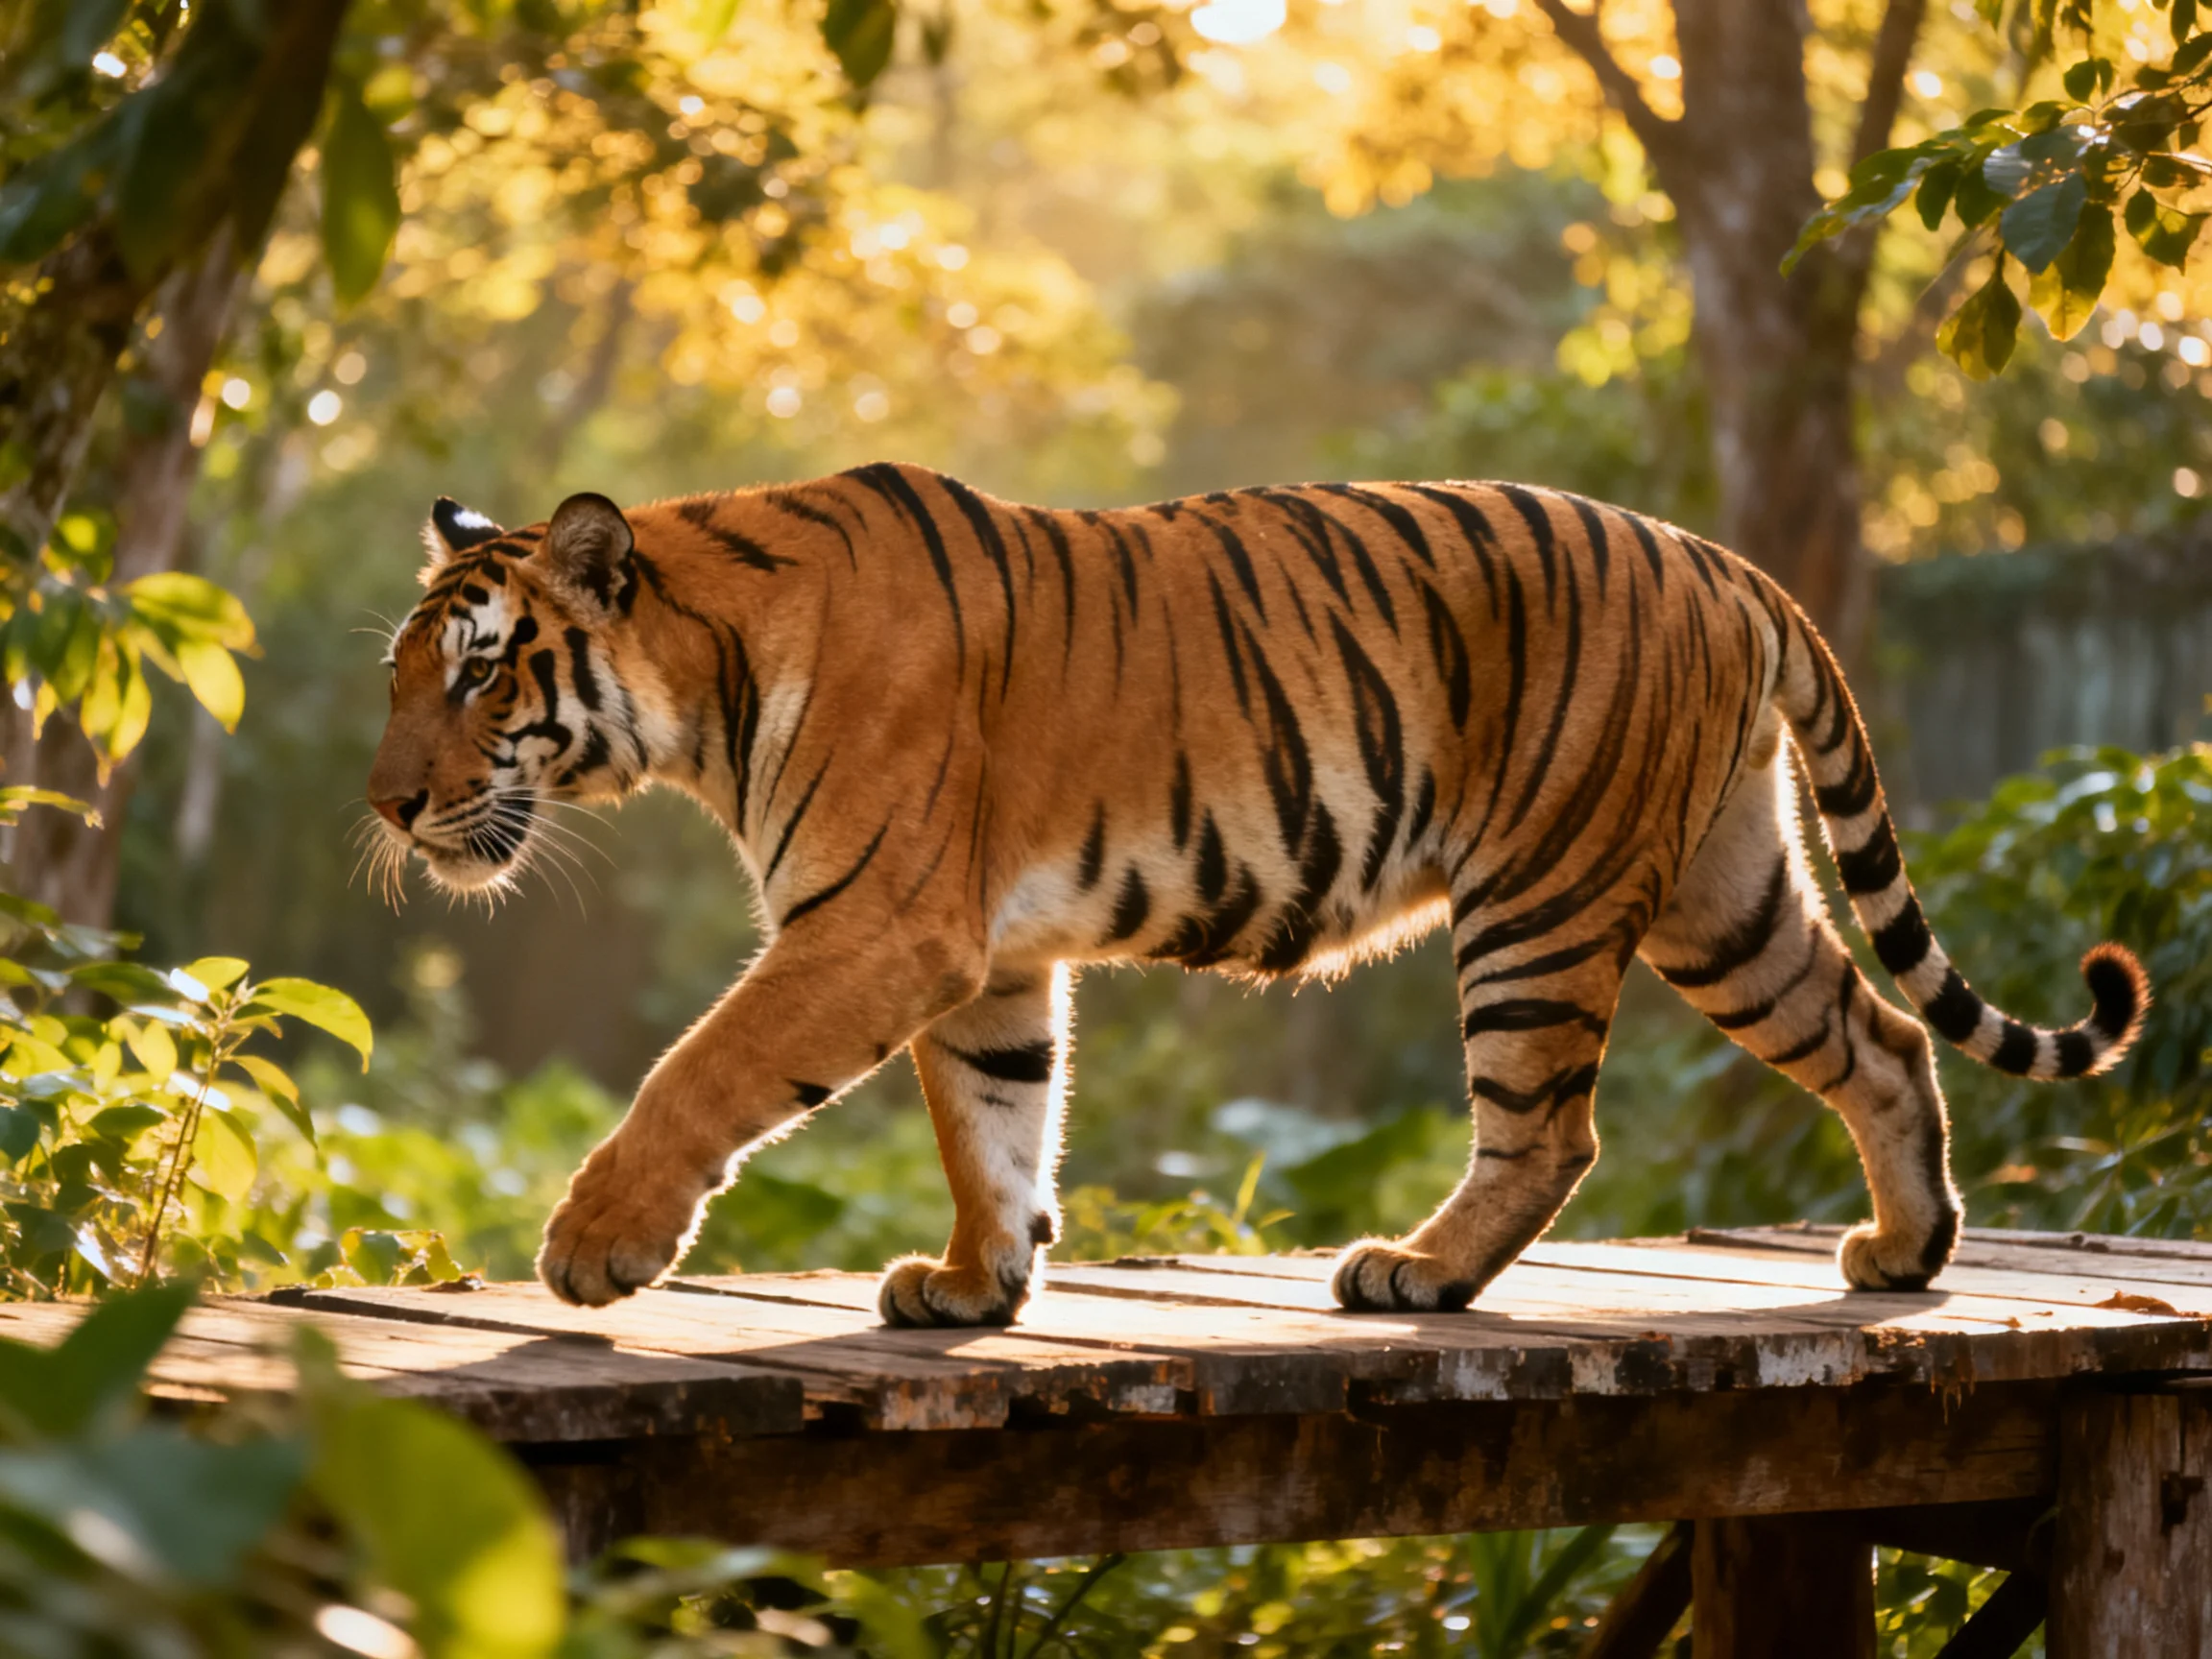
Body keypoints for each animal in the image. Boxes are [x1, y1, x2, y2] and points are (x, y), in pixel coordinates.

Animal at [365, 468, 2149, 1324]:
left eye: (477, 675)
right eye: (402, 675)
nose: (385, 804)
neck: (705, 687)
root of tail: (1724, 561)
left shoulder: (874, 926)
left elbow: (701, 1068)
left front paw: (594, 1245)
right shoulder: (987, 958)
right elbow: (994, 1122)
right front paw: (975, 1285)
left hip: (1541, 897)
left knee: (1550, 1129)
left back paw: (1414, 1270)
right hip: (1727, 898)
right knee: (1876, 1035)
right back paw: (1902, 1249)